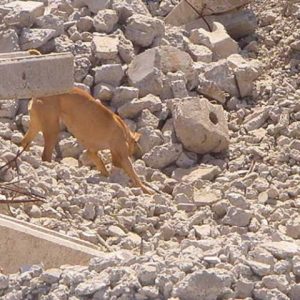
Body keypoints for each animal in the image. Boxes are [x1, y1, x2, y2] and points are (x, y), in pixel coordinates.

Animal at [21, 88, 152, 193]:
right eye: (136, 144)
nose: (139, 153)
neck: (124, 130)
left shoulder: (92, 152)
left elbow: (103, 167)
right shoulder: (123, 157)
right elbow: (135, 175)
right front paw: (146, 190)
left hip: (36, 126)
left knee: (24, 142)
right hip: (52, 130)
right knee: (45, 156)